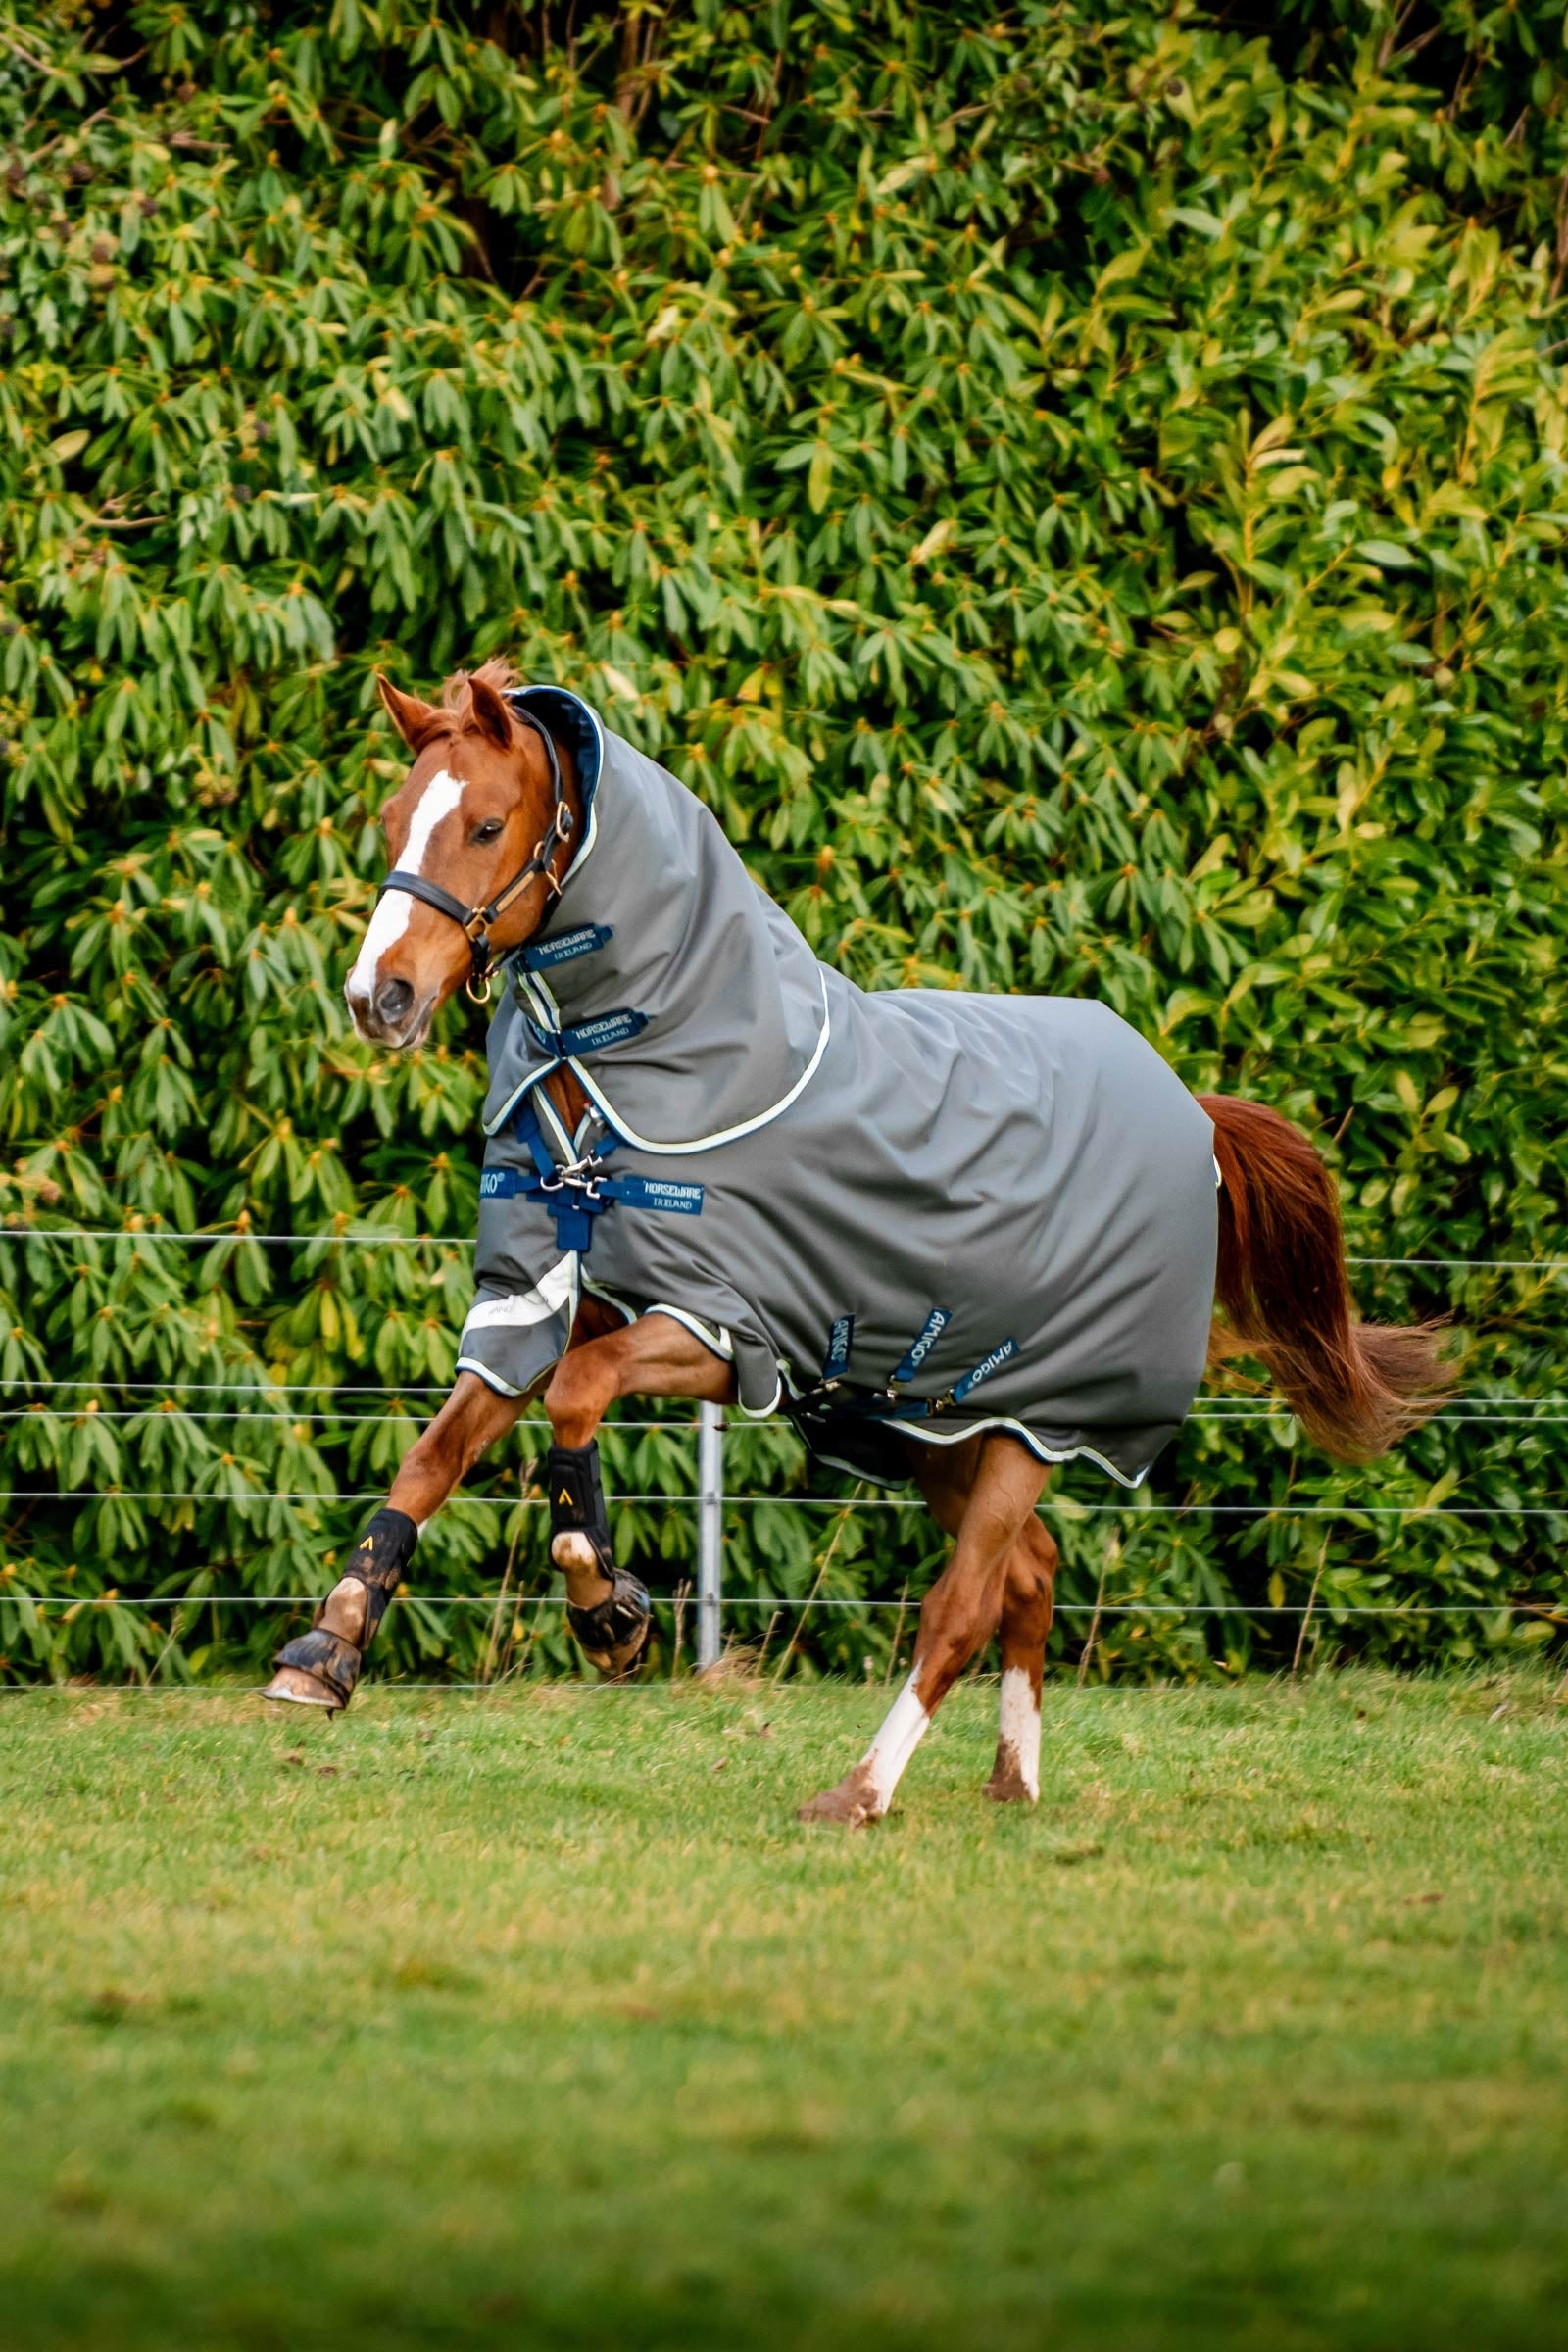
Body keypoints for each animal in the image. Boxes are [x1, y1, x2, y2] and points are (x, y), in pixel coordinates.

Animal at [262, 662, 1446, 1827]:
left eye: (485, 823)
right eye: (392, 821)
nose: (379, 997)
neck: (623, 1084)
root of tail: (1193, 1112)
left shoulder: (727, 1333)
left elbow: (580, 1394)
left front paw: (606, 1609)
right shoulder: (534, 1301)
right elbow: (436, 1452)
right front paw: (326, 1648)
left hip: (1035, 1429)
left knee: (964, 1603)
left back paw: (861, 1791)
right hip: (945, 1427)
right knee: (1030, 1577)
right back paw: (1011, 1781)